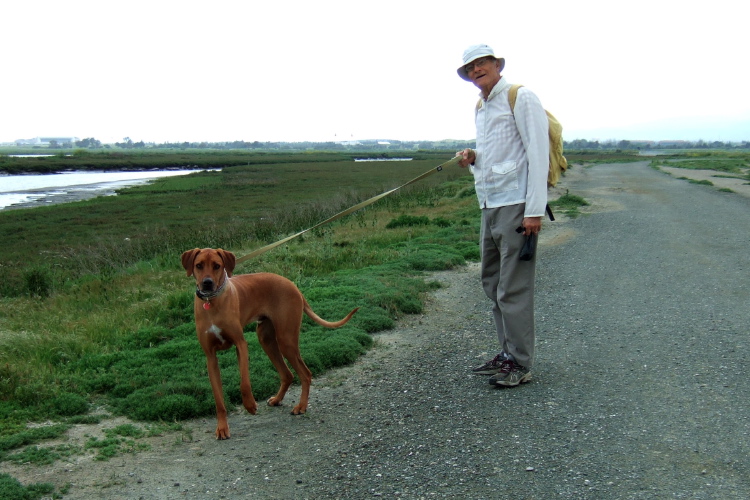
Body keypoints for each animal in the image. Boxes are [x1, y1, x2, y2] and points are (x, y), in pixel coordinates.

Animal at [181, 248, 358, 440]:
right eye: (199, 265)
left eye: (217, 266)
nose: (207, 283)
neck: (212, 302)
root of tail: (292, 285)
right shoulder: (210, 357)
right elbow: (219, 400)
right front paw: (222, 428)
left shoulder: (241, 345)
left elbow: (244, 383)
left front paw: (250, 405)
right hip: (266, 339)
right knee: (287, 374)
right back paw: (278, 399)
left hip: (286, 340)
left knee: (305, 373)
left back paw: (301, 406)